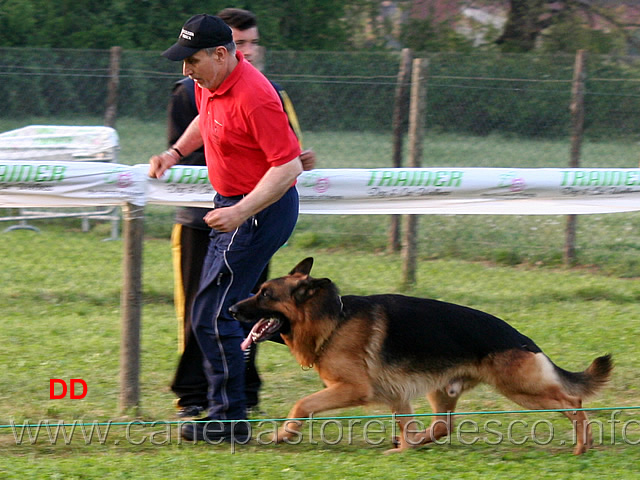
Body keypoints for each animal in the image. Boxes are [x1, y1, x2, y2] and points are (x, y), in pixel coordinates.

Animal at [231, 258, 616, 454]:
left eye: (265, 294)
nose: (232, 309)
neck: (333, 320)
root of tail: (523, 339)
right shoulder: (396, 395)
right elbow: (406, 423)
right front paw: (404, 447)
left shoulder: (354, 389)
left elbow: (302, 404)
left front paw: (284, 435)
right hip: (443, 390)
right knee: (442, 426)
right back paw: (410, 445)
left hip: (521, 388)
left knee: (574, 401)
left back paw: (584, 443)